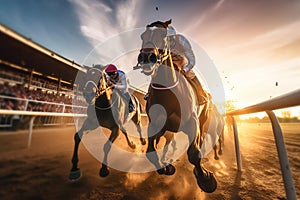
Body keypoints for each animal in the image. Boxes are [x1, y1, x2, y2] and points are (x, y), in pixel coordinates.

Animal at [135, 19, 217, 192]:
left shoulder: (193, 122)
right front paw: (166, 166)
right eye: (142, 35)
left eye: (162, 35)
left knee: (201, 139)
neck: (169, 93)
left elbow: (193, 153)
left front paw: (206, 178)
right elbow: (151, 151)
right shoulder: (156, 124)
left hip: (203, 120)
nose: (146, 57)